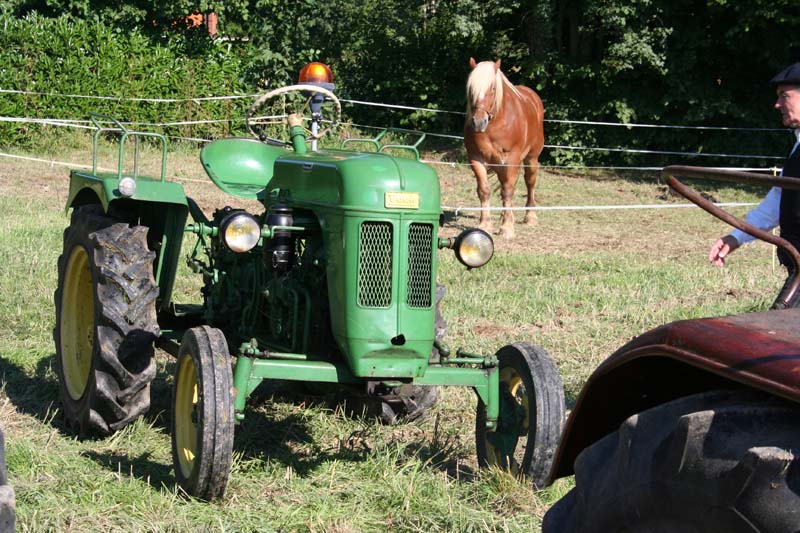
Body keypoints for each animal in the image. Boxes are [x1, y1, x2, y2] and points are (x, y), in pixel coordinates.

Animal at [462, 57, 544, 238]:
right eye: (470, 88)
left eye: (493, 88)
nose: (479, 122)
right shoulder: (476, 159)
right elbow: (484, 190)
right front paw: (485, 224)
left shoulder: (511, 159)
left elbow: (508, 190)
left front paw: (507, 227)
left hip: (531, 159)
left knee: (529, 183)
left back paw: (530, 216)